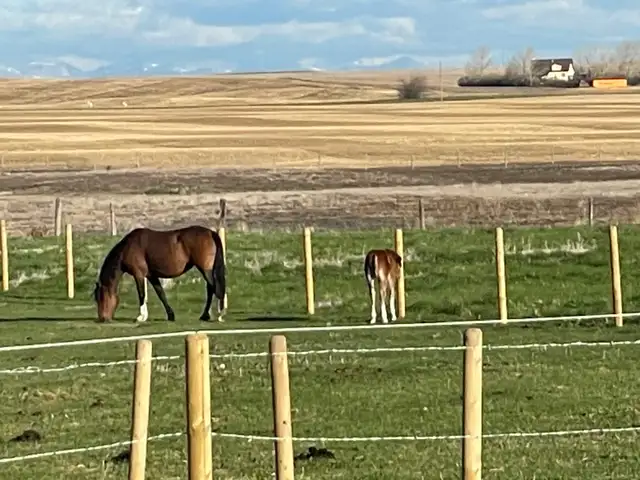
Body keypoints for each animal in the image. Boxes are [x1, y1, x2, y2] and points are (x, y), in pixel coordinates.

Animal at [93, 225, 226, 323]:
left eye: (100, 297)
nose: (102, 318)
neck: (128, 247)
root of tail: (210, 232)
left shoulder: (139, 274)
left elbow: (142, 294)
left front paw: (141, 317)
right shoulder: (151, 276)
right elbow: (161, 294)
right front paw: (170, 315)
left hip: (205, 269)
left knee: (213, 288)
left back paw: (218, 315)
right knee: (211, 289)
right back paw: (206, 315)